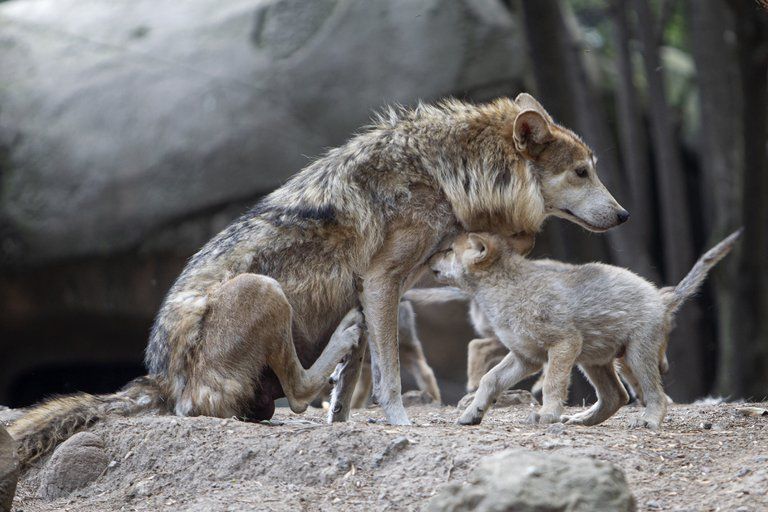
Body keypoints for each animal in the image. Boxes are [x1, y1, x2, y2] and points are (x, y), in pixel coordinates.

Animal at [10, 93, 627, 466]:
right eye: (582, 172)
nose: (623, 215)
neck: (447, 173)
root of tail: (160, 382)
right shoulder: (381, 283)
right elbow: (384, 378)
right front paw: (398, 423)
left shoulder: (374, 291)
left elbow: (349, 389)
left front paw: (345, 424)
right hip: (265, 290)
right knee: (300, 390)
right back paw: (339, 343)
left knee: (305, 390)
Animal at [429, 229, 741, 429]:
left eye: (449, 250)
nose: (428, 258)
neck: (503, 290)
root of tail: (662, 296)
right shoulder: (525, 358)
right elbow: (489, 380)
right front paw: (473, 413)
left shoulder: (562, 344)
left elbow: (552, 385)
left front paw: (548, 415)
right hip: (595, 362)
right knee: (617, 397)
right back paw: (582, 420)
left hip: (634, 357)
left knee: (655, 395)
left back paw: (648, 421)